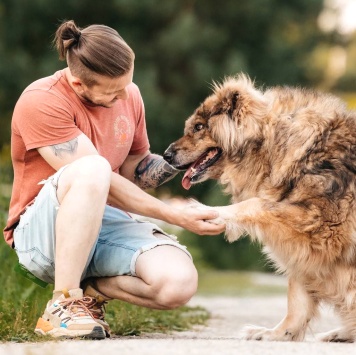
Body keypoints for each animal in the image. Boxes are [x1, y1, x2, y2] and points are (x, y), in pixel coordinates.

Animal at [165, 73, 356, 344]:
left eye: (199, 128)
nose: (166, 155)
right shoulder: (304, 247)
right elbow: (297, 300)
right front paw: (277, 334)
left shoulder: (321, 227)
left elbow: (255, 204)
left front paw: (210, 212)